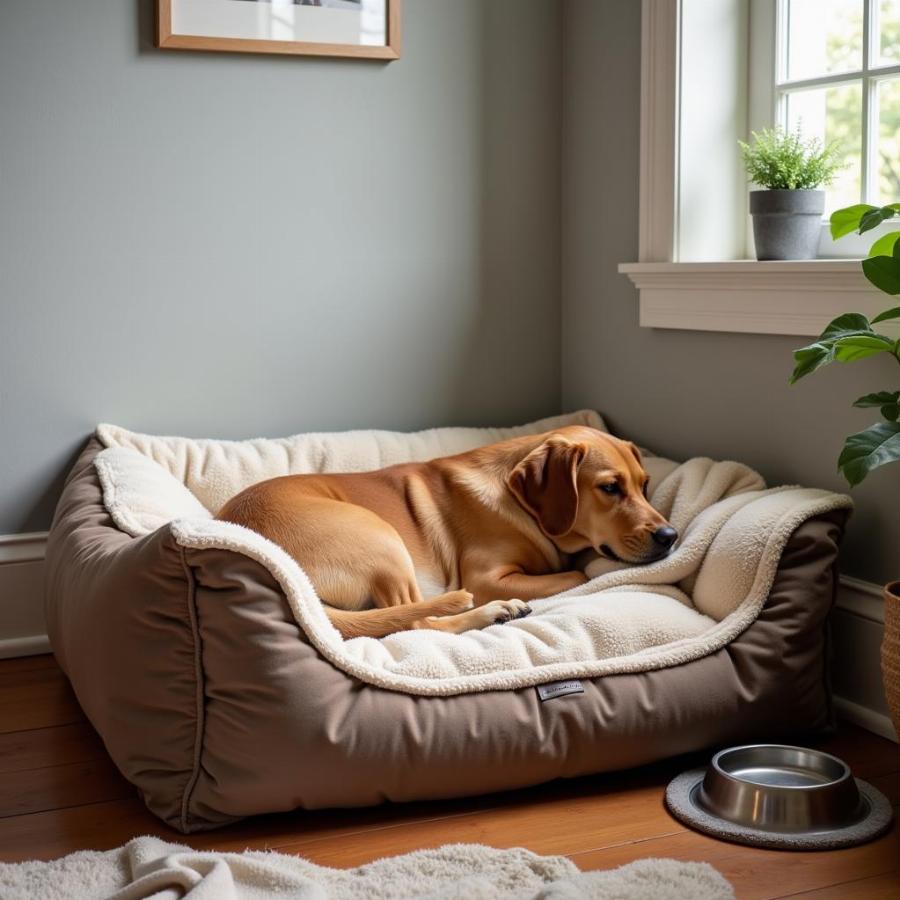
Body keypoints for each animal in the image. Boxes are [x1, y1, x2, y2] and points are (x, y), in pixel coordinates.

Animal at [216, 424, 676, 640]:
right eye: (610, 488)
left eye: (645, 484)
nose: (670, 536)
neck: (515, 498)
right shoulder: (486, 578)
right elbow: (578, 571)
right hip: (383, 542)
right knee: (417, 623)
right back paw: (493, 612)